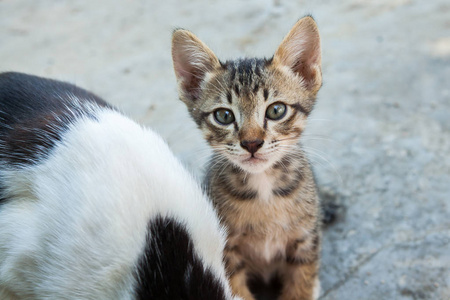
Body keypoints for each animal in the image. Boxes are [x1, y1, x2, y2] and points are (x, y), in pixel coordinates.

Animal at [172, 17, 324, 300]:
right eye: (223, 116)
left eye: (276, 110)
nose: (252, 143)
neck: (263, 187)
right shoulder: (226, 252)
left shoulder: (306, 238)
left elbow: (301, 284)